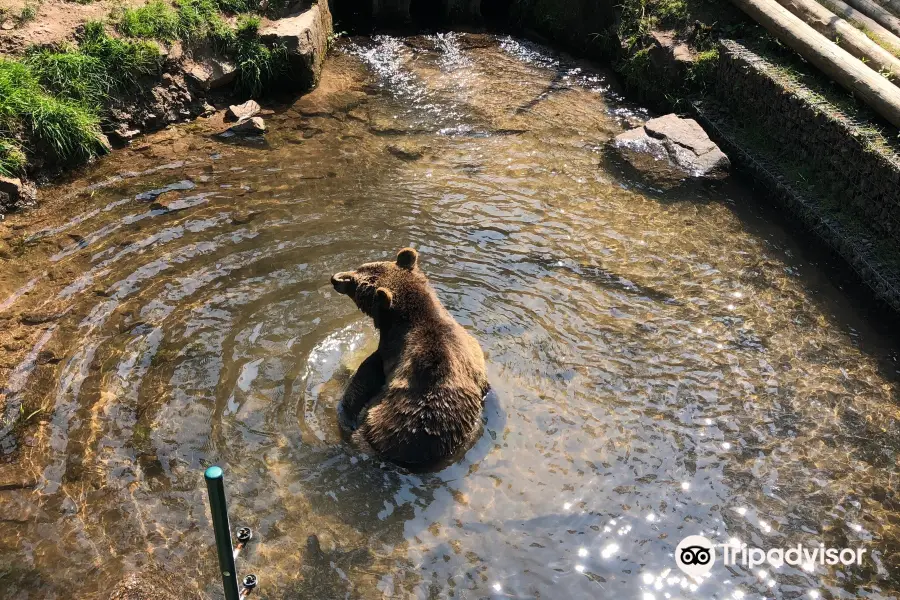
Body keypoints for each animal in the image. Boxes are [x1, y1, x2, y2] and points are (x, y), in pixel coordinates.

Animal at [330, 246, 488, 466]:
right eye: (360, 267)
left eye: (355, 283)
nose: (335, 278)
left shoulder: (388, 353)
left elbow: (363, 379)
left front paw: (347, 409)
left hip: (384, 426)